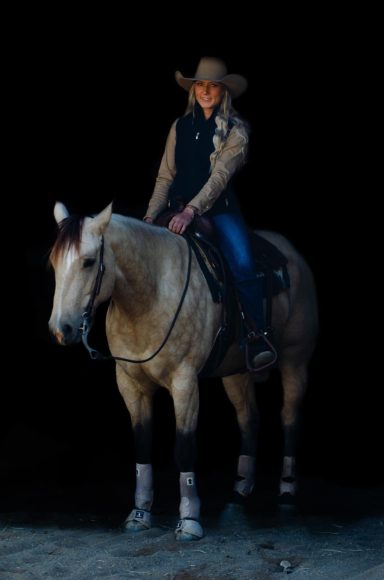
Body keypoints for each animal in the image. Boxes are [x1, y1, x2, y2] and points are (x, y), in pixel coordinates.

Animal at [48, 202, 318, 540]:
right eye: (53, 263)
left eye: (87, 262)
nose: (62, 329)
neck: (149, 297)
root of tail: (292, 253)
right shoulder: (130, 384)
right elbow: (142, 444)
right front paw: (139, 513)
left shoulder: (184, 382)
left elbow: (185, 448)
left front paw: (189, 519)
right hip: (236, 373)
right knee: (249, 420)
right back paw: (238, 493)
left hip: (296, 361)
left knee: (290, 419)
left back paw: (287, 492)